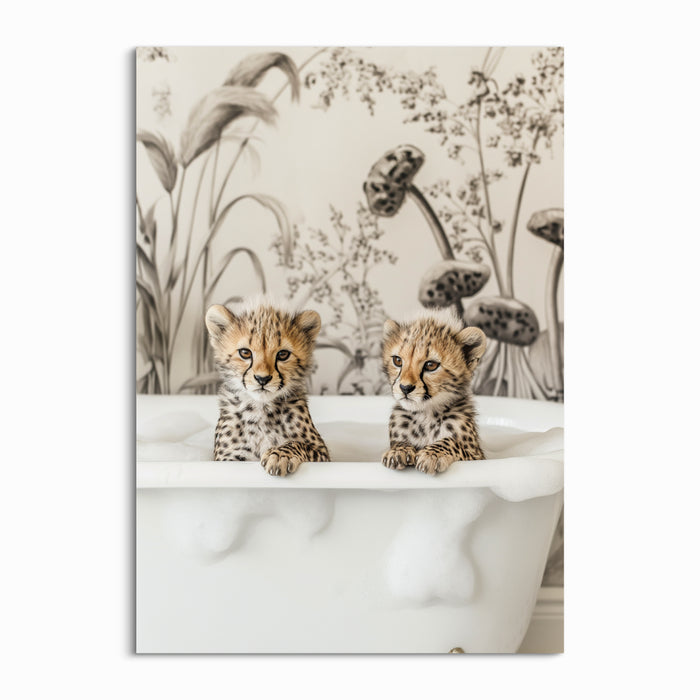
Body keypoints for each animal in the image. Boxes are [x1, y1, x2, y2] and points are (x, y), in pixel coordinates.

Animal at [204, 298, 330, 476]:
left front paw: (279, 455)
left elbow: (297, 443)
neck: (261, 408)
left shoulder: (322, 452)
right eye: (245, 353)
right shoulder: (228, 458)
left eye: (283, 354)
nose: (262, 379)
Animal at [381, 308, 487, 475]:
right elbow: (399, 443)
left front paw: (432, 454)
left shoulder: (477, 456)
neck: (426, 414)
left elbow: (452, 442)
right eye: (397, 361)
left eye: (431, 365)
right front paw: (398, 451)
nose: (405, 388)